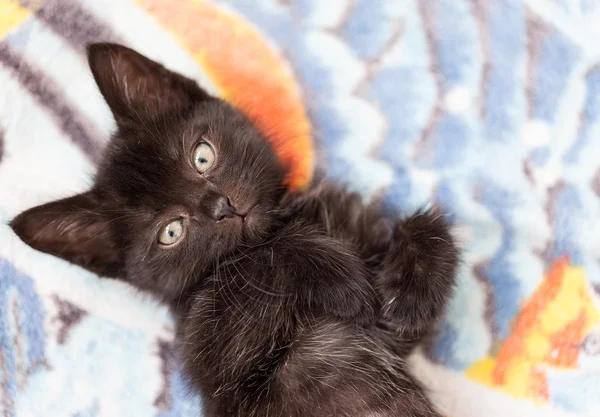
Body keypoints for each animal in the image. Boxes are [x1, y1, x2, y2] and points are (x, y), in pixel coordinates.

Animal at [9, 44, 460, 416]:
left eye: (202, 157)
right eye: (170, 232)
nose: (221, 208)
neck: (287, 217)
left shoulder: (387, 325)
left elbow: (422, 234)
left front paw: (410, 295)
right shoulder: (220, 353)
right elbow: (255, 261)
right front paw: (341, 278)